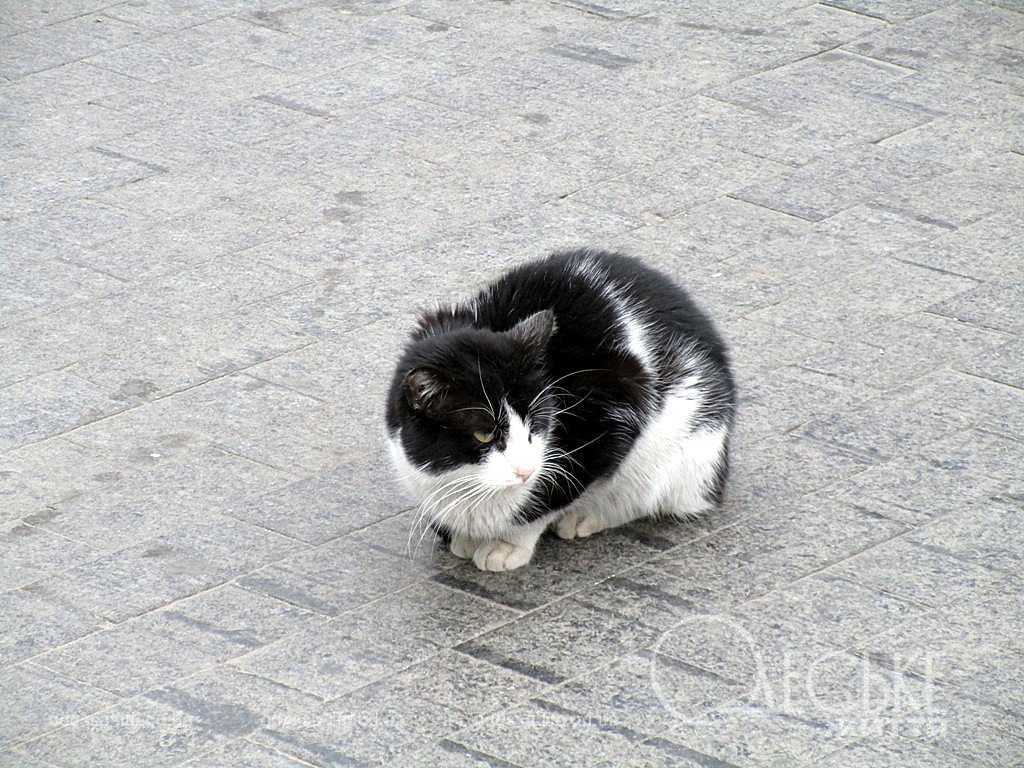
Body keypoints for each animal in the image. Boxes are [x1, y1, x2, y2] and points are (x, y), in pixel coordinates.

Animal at [385, 249, 737, 573]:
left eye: (535, 423)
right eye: (483, 434)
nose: (525, 471)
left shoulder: (618, 404)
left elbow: (550, 497)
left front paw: (507, 544)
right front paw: (466, 535)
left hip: (687, 446)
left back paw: (588, 515)